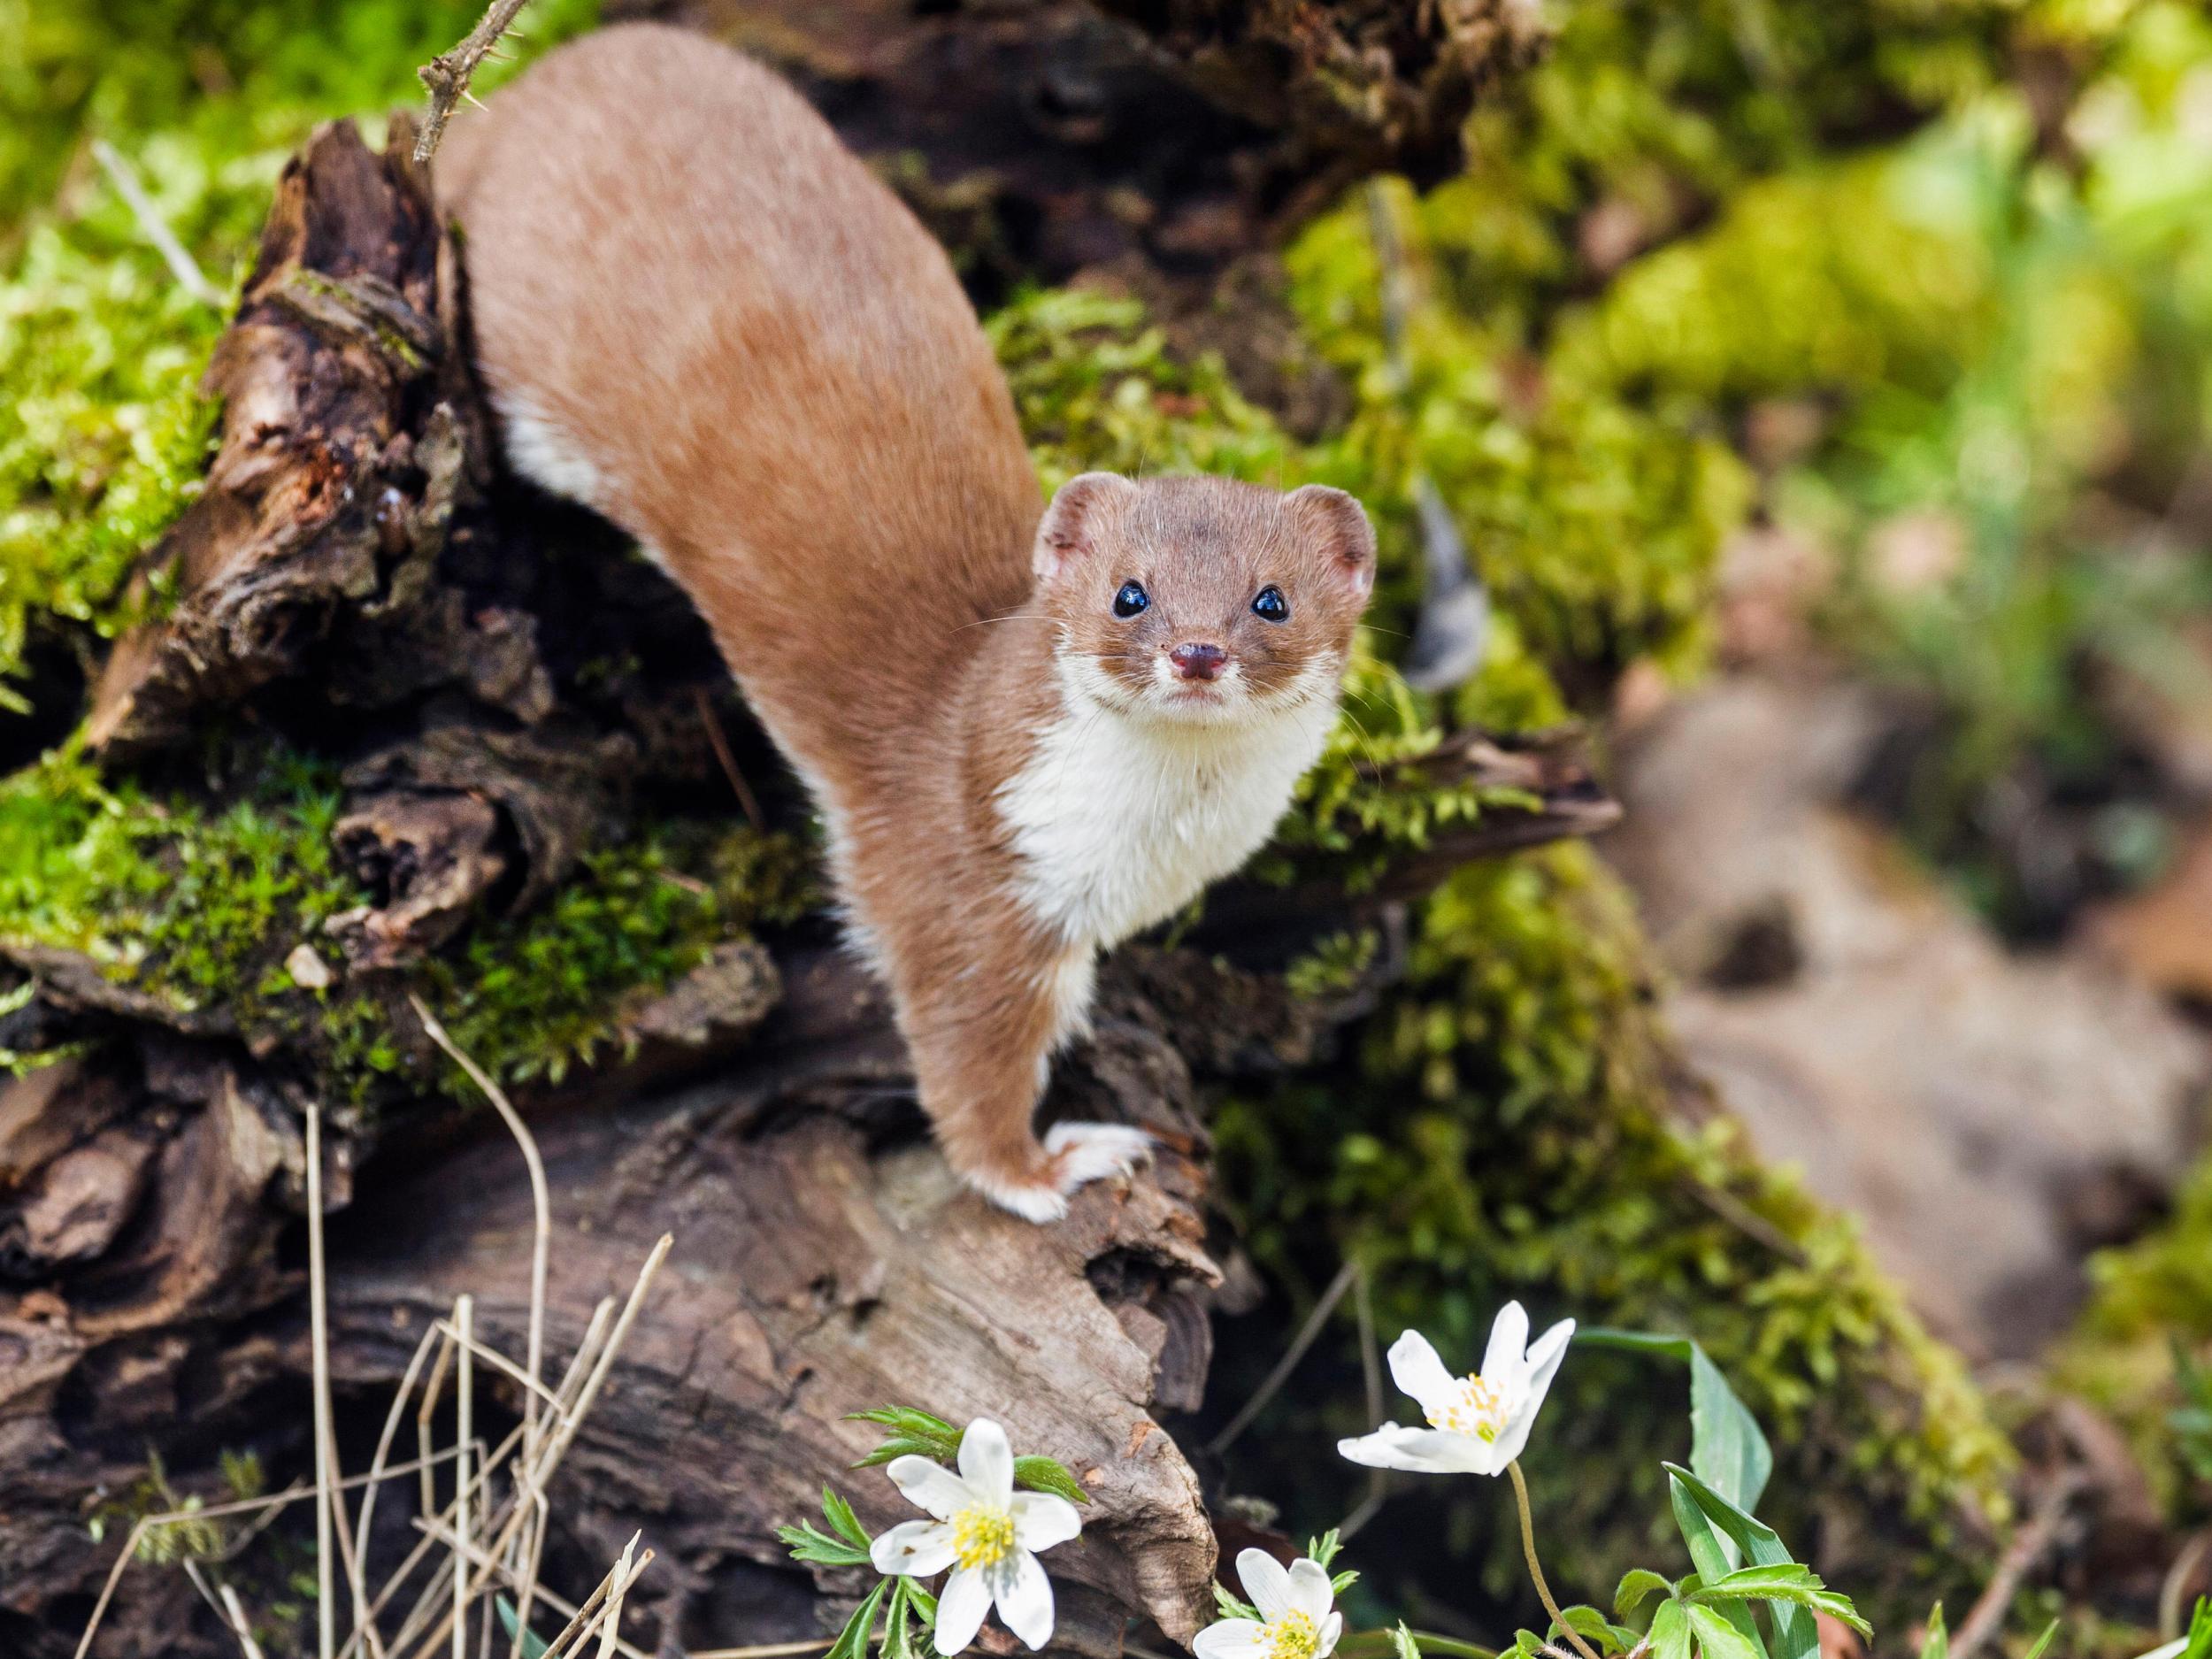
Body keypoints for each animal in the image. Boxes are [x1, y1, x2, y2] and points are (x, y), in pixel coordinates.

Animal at [434, 22, 1371, 1221]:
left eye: (1271, 598)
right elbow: (965, 1055)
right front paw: (1050, 1166)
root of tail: (555, 72)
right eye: (1129, 591)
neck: (1141, 857)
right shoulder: (965, 888)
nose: (1197, 652)